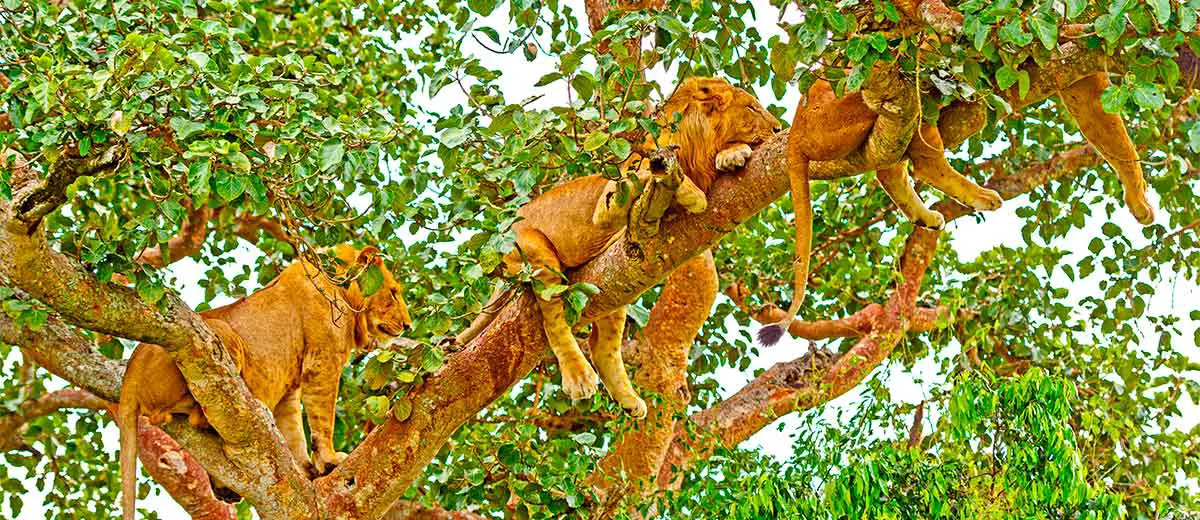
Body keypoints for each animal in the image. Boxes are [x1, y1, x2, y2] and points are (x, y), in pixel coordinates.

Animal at [120, 243, 412, 518]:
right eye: (394, 292)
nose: (409, 326)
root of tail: (131, 370)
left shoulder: (290, 388)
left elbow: (294, 432)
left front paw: (307, 470)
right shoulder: (323, 362)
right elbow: (322, 420)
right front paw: (330, 460)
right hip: (221, 333)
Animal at [453, 78, 782, 417]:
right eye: (752, 107)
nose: (779, 128)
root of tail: (501, 232)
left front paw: (732, 154)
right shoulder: (609, 204)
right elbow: (652, 174)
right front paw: (694, 192)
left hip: (614, 287)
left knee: (602, 347)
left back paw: (630, 401)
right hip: (537, 254)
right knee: (554, 319)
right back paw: (579, 378)